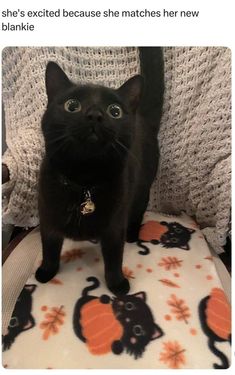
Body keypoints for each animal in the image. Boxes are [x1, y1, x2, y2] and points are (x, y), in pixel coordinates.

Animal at [35, 47, 163, 296]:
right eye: (72, 105)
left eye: (115, 111)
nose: (95, 114)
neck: (83, 180)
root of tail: (142, 116)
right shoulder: (47, 219)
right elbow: (49, 249)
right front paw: (46, 271)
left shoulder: (114, 227)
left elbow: (114, 258)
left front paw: (117, 284)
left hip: (142, 189)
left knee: (138, 212)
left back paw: (133, 234)